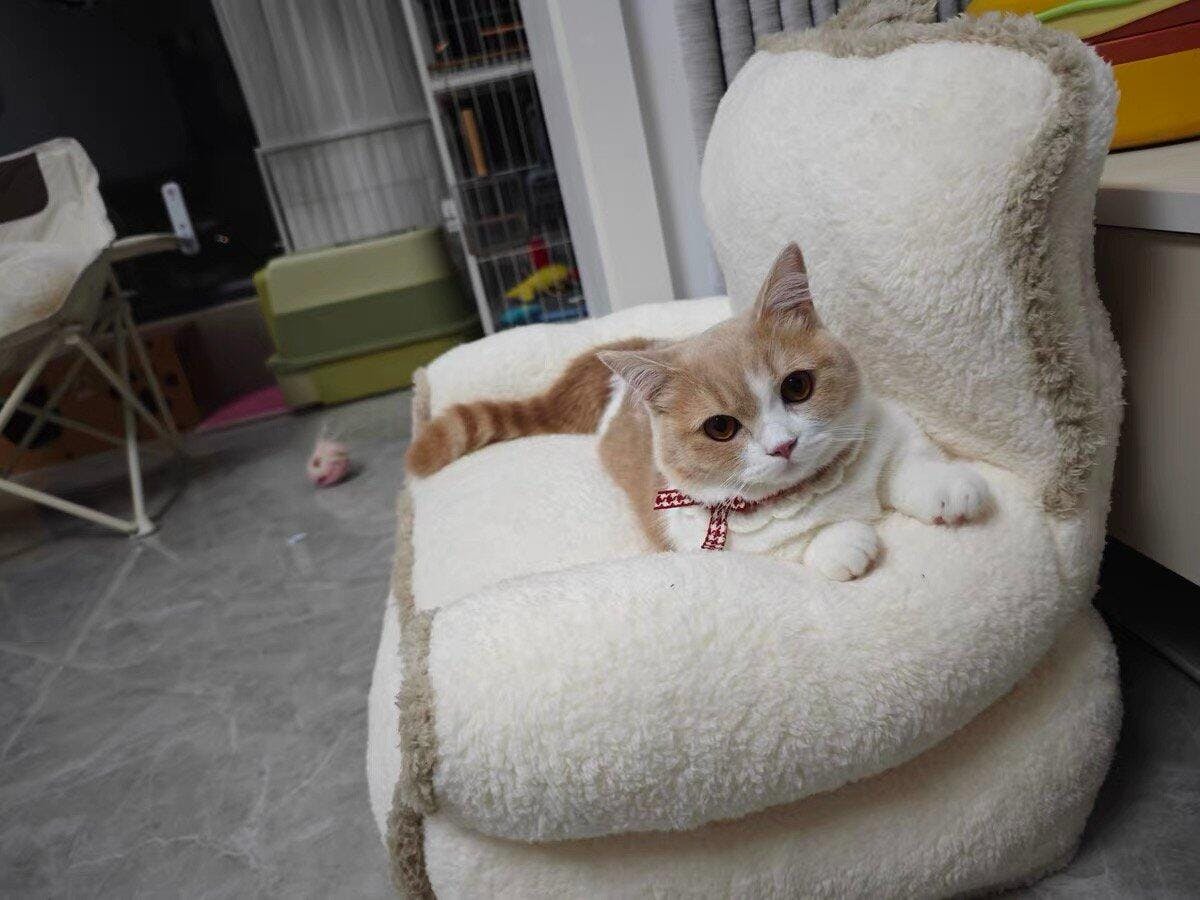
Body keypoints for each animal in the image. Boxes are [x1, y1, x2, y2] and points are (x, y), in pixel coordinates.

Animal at [406, 242, 990, 580]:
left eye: (797, 386)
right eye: (721, 427)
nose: (783, 444)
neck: (816, 490)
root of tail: (638, 346)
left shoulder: (884, 426)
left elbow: (905, 463)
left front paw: (946, 488)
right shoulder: (708, 546)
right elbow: (793, 546)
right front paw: (843, 540)